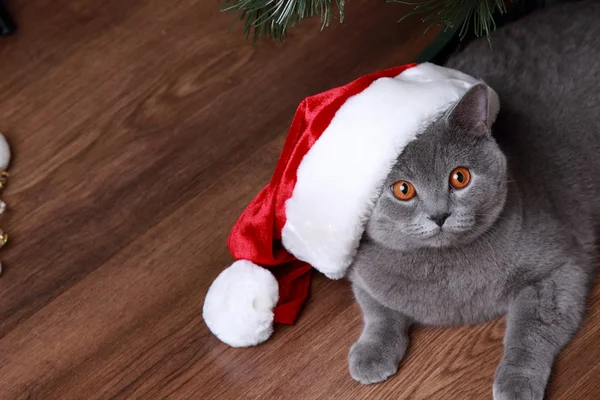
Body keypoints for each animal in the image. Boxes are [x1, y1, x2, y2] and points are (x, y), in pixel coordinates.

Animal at [346, 1, 600, 398]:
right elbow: (378, 311)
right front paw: (370, 353)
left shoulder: (561, 265)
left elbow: (531, 328)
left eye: (459, 177)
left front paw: (516, 381)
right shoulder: (362, 271)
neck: (448, 273)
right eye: (403, 189)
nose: (439, 214)